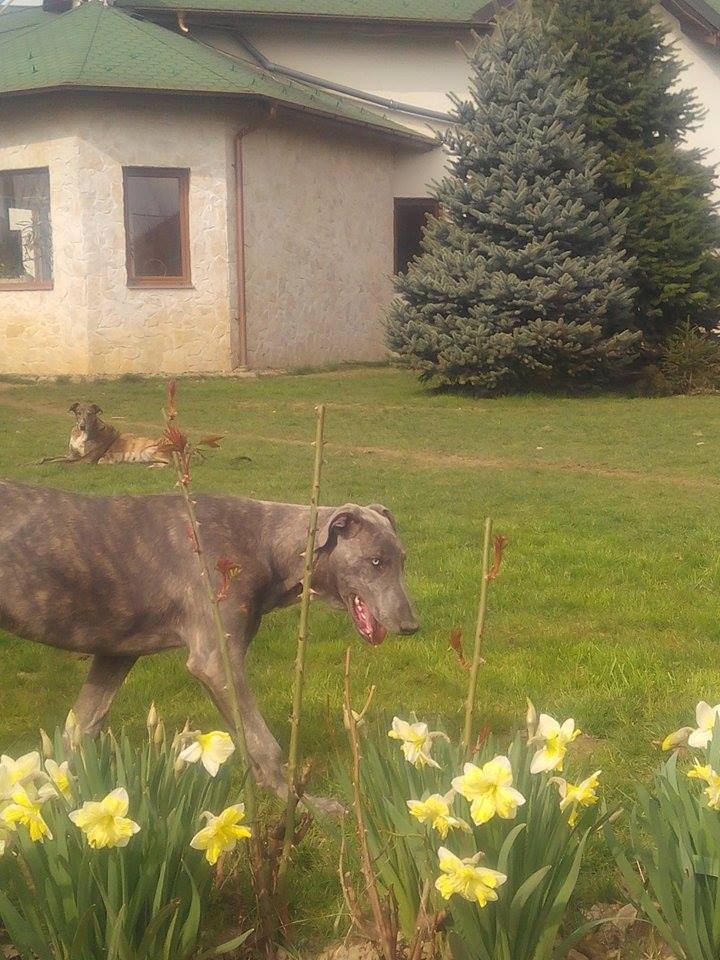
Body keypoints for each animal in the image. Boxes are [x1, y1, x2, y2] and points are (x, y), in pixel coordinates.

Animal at [0, 481, 419, 800]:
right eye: (375, 561)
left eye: (403, 559)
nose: (412, 625)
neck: (265, 544)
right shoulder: (217, 659)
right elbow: (264, 743)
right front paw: (304, 807)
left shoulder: (116, 654)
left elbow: (79, 729)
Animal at [40, 402, 170, 466]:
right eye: (78, 412)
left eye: (90, 413)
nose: (82, 426)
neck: (82, 434)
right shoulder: (72, 455)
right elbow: (51, 458)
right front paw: (39, 461)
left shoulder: (86, 460)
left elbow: (60, 463)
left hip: (149, 451)